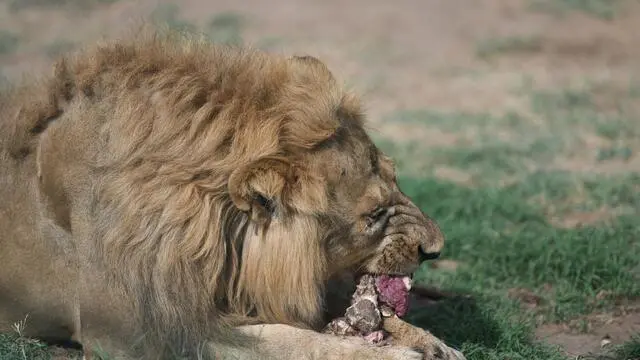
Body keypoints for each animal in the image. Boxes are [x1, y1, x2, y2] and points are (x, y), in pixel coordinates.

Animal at [0, 28, 464, 360]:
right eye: (374, 215)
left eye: (396, 178)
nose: (435, 250)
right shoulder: (139, 333)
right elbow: (289, 341)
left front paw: (429, 341)